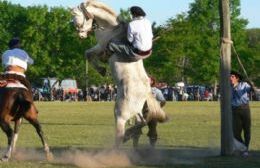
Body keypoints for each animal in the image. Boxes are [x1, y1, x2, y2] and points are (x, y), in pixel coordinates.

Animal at [72, 0, 168, 147]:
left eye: (77, 18)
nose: (81, 35)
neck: (112, 28)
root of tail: (146, 93)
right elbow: (88, 54)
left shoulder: (101, 46)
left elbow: (88, 53)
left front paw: (101, 70)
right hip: (137, 111)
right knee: (141, 123)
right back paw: (131, 134)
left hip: (121, 114)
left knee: (121, 134)